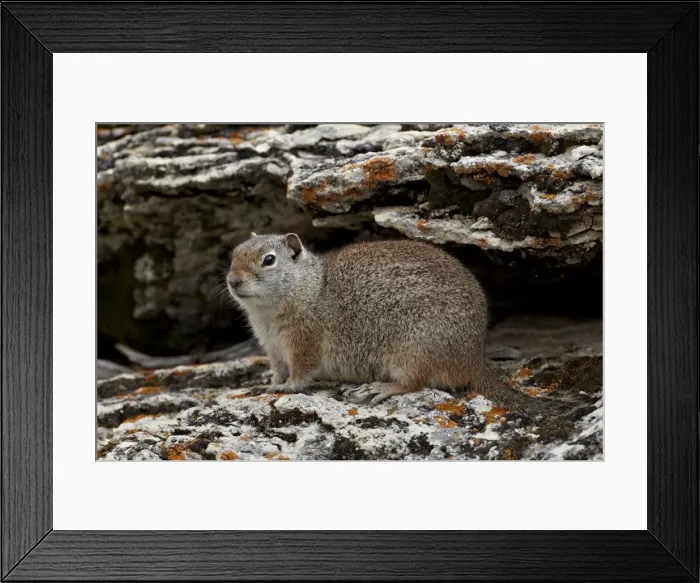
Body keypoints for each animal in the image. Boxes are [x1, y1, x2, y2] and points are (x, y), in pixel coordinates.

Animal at [227, 233, 570, 415]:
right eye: (233, 254)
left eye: (269, 260)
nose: (232, 280)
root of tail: (473, 356)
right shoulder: (272, 347)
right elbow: (277, 369)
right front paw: (269, 383)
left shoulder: (303, 341)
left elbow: (301, 372)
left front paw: (285, 388)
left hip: (413, 351)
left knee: (414, 383)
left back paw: (381, 388)